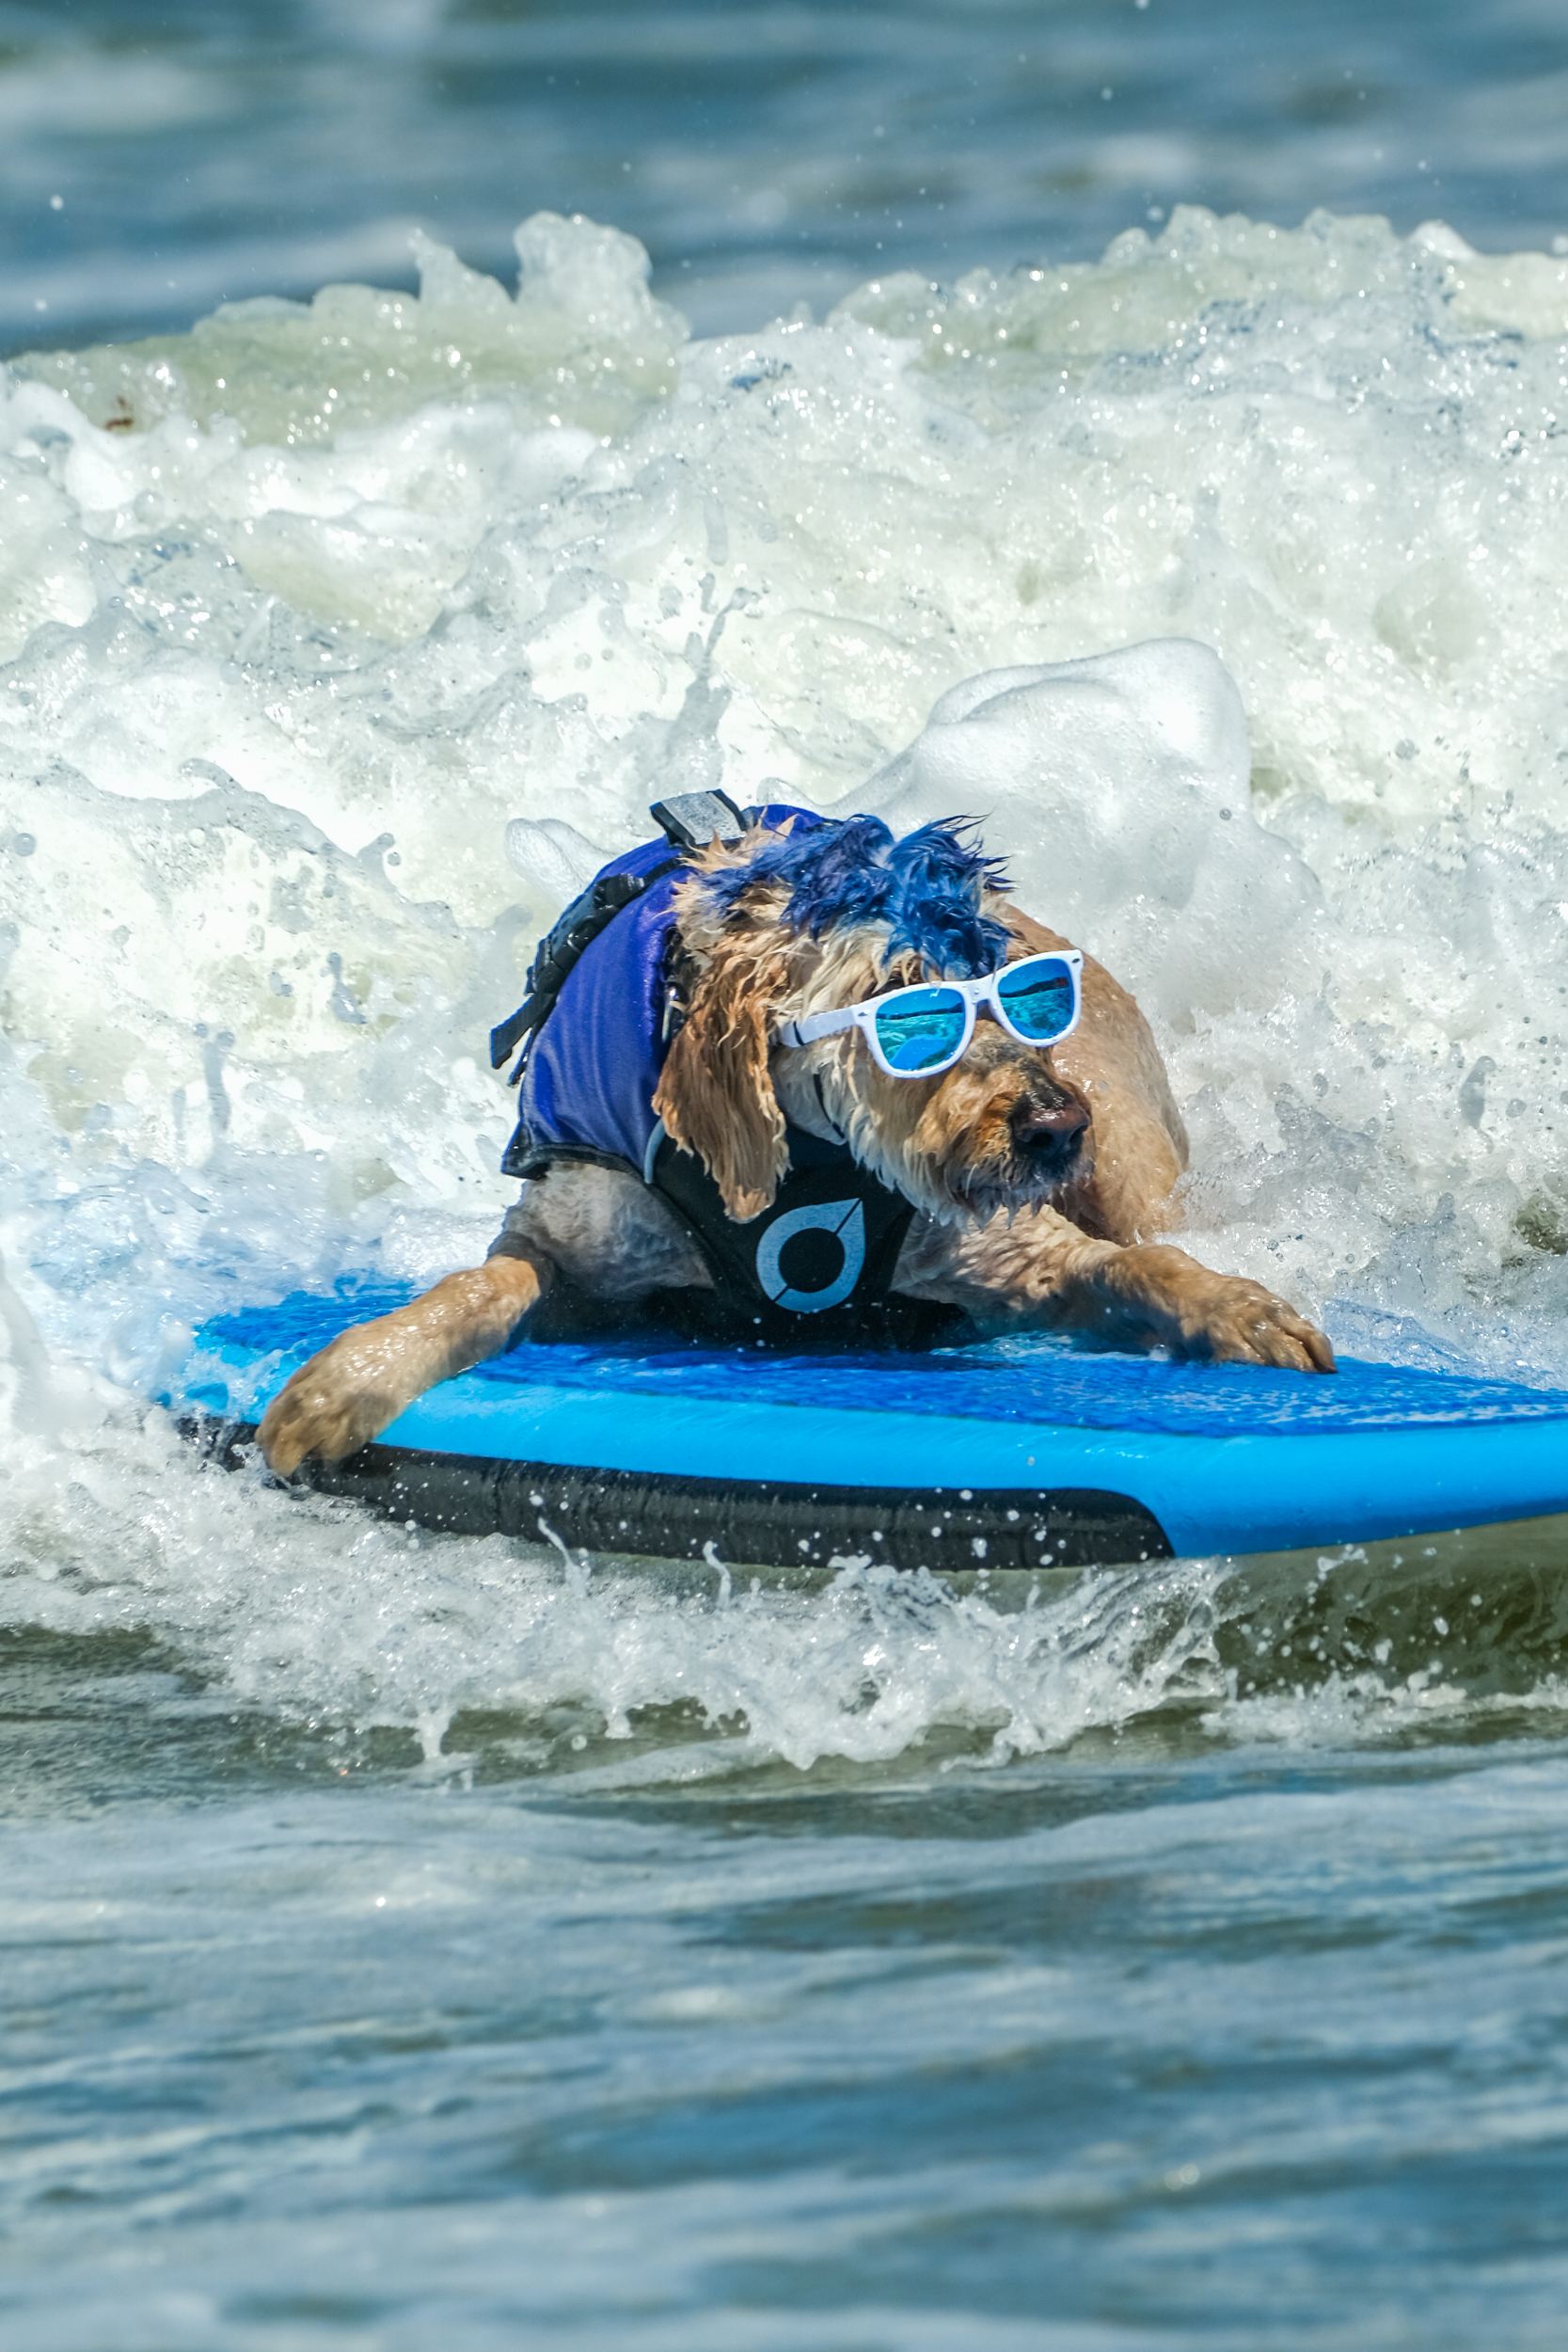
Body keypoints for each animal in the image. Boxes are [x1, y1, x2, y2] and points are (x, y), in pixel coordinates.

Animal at [261, 804, 1335, 1468]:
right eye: (909, 1009)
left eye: (1023, 992)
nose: (1053, 1127)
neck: (805, 1161)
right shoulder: (571, 1248)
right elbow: (479, 1288)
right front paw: (355, 1374)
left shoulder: (1011, 1252)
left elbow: (1134, 1266)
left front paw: (1237, 1310)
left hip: (1124, 1149)